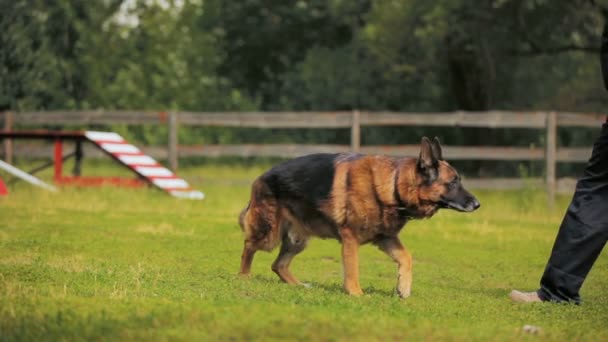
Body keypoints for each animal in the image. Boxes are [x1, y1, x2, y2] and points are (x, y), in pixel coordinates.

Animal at [238, 136, 480, 296]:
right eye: (453, 182)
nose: (477, 204)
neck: (393, 187)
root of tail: (261, 176)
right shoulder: (350, 238)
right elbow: (353, 268)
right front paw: (356, 294)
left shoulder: (386, 238)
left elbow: (407, 257)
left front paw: (403, 287)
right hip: (268, 234)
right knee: (249, 247)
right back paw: (244, 276)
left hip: (297, 239)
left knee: (278, 265)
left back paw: (299, 285)